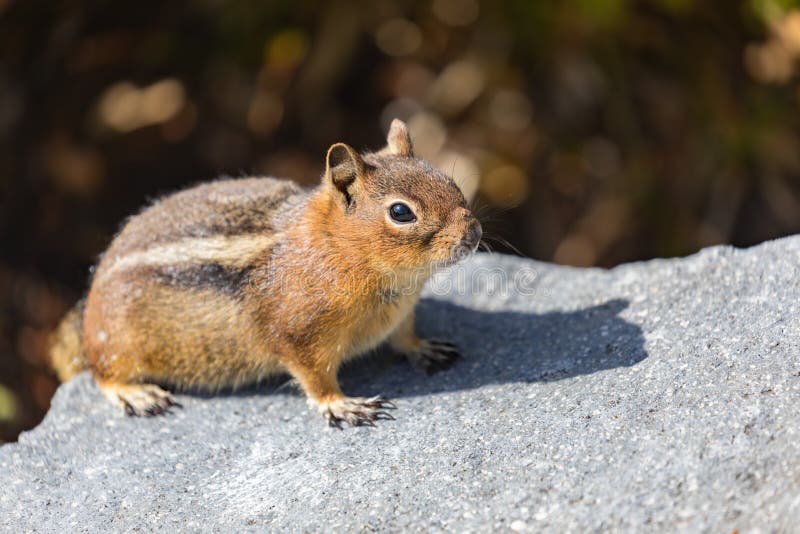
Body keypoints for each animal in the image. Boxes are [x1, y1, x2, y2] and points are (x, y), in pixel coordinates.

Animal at [53, 119, 484, 430]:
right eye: (400, 212)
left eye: (448, 181)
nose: (474, 232)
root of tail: (88, 308)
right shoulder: (300, 337)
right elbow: (315, 378)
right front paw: (341, 405)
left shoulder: (401, 313)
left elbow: (404, 335)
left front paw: (423, 347)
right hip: (118, 343)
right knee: (102, 373)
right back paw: (136, 394)